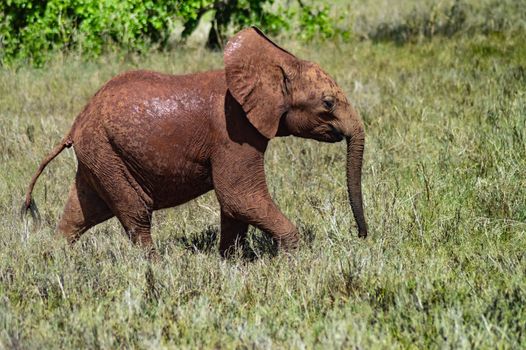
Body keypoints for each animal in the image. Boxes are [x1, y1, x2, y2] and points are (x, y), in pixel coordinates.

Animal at [22, 27, 370, 258]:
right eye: (327, 103)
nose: (362, 236)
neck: (273, 65)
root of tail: (75, 123)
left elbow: (234, 205)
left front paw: (230, 262)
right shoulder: (232, 131)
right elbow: (239, 196)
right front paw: (292, 259)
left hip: (99, 154)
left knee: (81, 211)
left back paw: (55, 259)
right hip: (106, 152)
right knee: (136, 212)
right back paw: (153, 266)